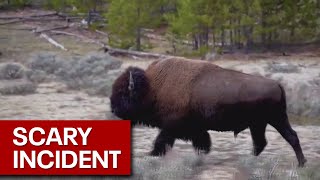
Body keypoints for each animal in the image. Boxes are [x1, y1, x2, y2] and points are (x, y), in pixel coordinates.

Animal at [110, 58, 308, 167]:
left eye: (123, 93)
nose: (113, 108)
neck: (152, 87)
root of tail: (277, 84)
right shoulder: (195, 130)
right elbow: (203, 145)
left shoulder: (171, 128)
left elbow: (161, 143)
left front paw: (150, 155)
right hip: (262, 123)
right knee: (271, 141)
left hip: (274, 119)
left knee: (285, 138)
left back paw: (300, 164)